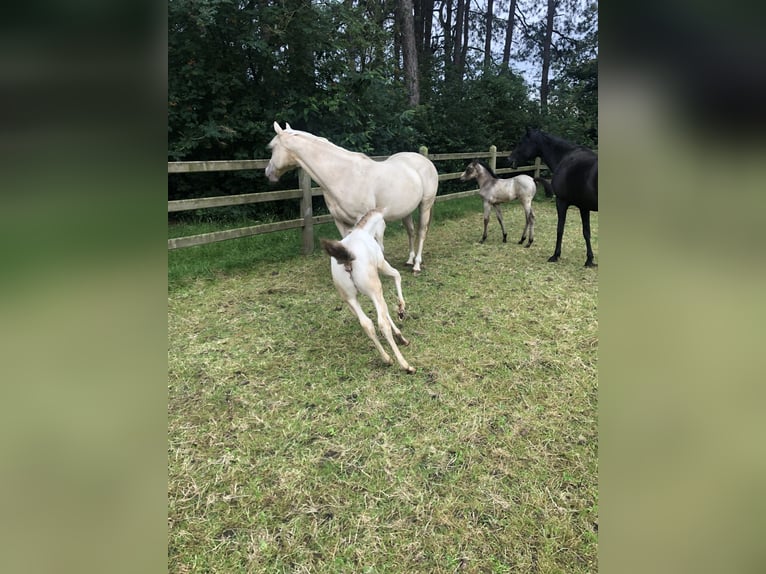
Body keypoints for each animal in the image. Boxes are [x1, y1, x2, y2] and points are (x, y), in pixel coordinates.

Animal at [266, 122, 438, 274]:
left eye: (272, 147)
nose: (268, 173)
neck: (343, 174)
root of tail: (424, 160)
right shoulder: (341, 221)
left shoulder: (365, 219)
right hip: (406, 210)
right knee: (411, 231)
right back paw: (409, 260)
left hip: (425, 205)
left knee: (421, 231)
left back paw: (416, 265)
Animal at [320, 209, 415, 373]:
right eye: (384, 224)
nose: (381, 246)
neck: (363, 231)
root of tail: (347, 259)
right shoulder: (381, 269)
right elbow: (397, 275)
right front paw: (401, 310)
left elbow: (383, 310)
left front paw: (400, 334)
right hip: (374, 288)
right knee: (382, 324)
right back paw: (405, 365)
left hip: (350, 298)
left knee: (367, 324)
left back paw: (387, 359)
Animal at [508, 128, 598, 267]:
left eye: (522, 142)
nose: (509, 158)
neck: (565, 158)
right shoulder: (584, 207)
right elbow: (586, 232)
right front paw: (589, 260)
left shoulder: (561, 202)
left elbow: (560, 229)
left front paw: (555, 255)